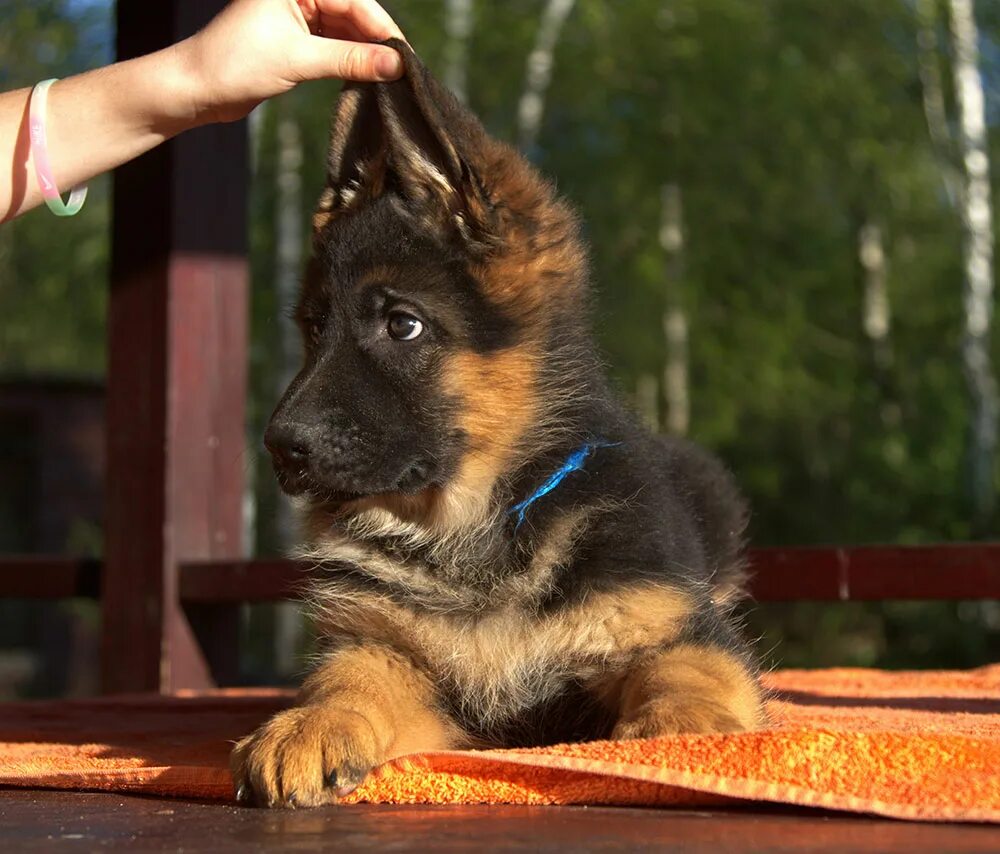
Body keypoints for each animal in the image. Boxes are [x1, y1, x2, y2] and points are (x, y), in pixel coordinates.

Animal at [234, 40, 760, 808]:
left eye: (403, 324)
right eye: (313, 329)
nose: (279, 447)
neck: (474, 533)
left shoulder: (677, 628)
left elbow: (687, 673)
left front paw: (679, 737)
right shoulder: (386, 649)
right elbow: (347, 678)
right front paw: (309, 723)